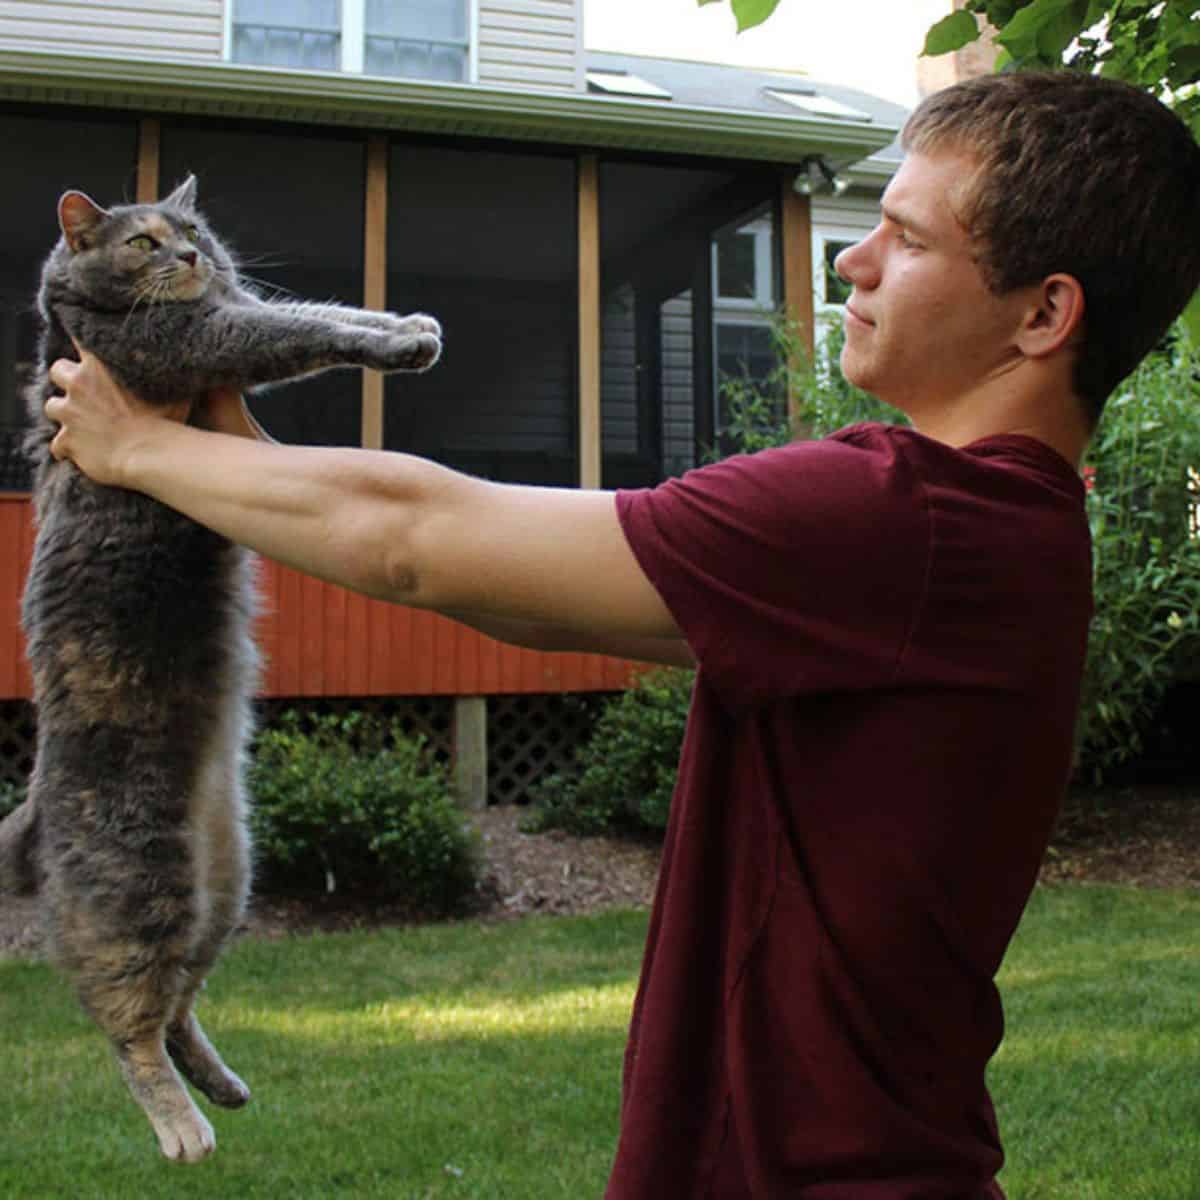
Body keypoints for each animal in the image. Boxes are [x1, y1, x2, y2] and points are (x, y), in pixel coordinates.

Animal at [0, 177, 441, 1161]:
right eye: (142, 241)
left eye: (194, 226)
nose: (193, 256)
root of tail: (37, 801)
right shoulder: (190, 342)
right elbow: (294, 328)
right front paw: (399, 340)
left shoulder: (221, 326)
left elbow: (307, 307)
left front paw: (403, 319)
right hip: (140, 883)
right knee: (122, 1016)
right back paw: (182, 1127)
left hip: (231, 881)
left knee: (177, 1005)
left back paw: (225, 1087)